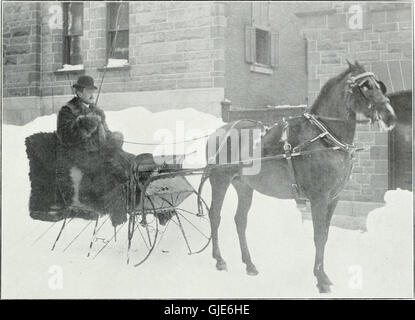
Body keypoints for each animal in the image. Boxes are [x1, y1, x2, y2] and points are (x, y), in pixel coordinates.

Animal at [206, 60, 398, 292]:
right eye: (366, 86)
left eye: (379, 84)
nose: (390, 116)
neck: (324, 138)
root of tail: (218, 131)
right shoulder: (318, 198)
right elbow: (318, 236)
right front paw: (321, 279)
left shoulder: (333, 198)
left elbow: (325, 234)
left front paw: (324, 276)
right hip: (219, 180)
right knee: (215, 215)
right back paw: (219, 260)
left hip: (244, 186)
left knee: (240, 220)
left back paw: (250, 264)